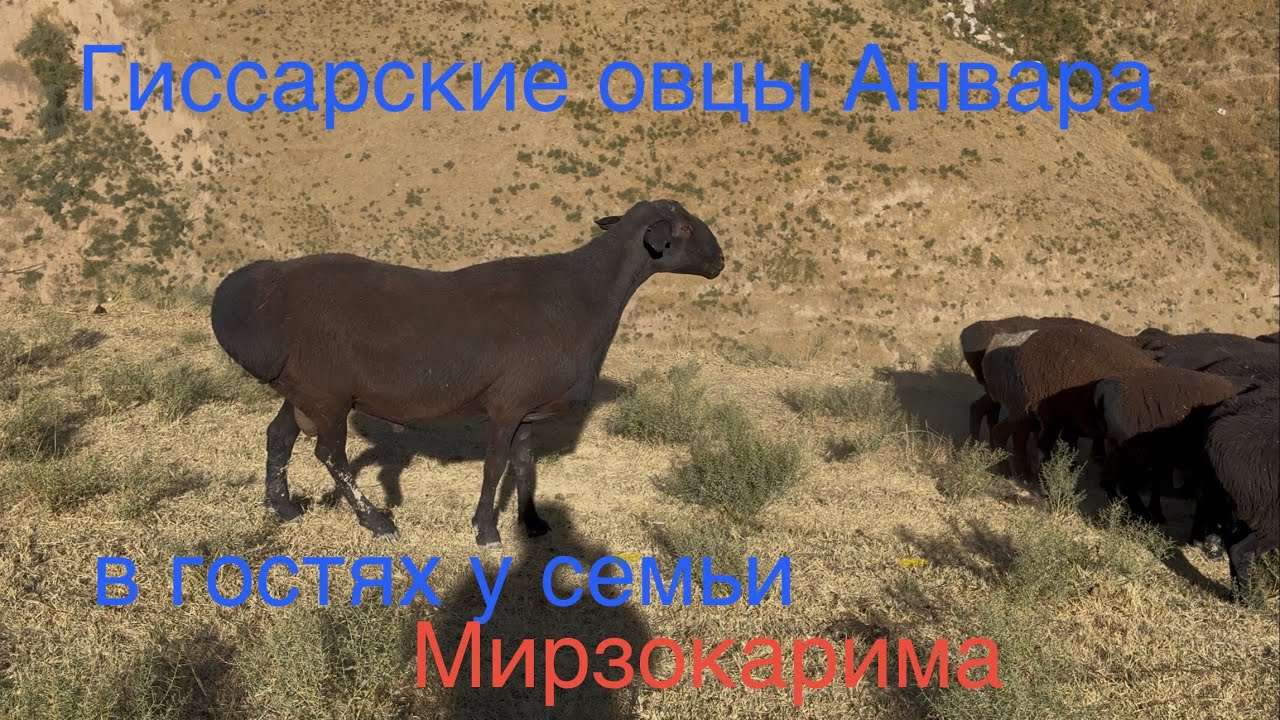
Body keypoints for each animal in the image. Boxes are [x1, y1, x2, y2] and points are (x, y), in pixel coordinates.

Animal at [211, 199, 724, 546]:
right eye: (682, 226)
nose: (720, 262)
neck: (587, 294)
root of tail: (261, 295)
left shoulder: (527, 408)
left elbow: (524, 466)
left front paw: (532, 524)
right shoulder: (506, 405)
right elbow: (494, 467)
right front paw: (486, 531)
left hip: (303, 389)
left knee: (279, 436)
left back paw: (282, 507)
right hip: (329, 395)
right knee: (330, 455)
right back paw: (377, 522)